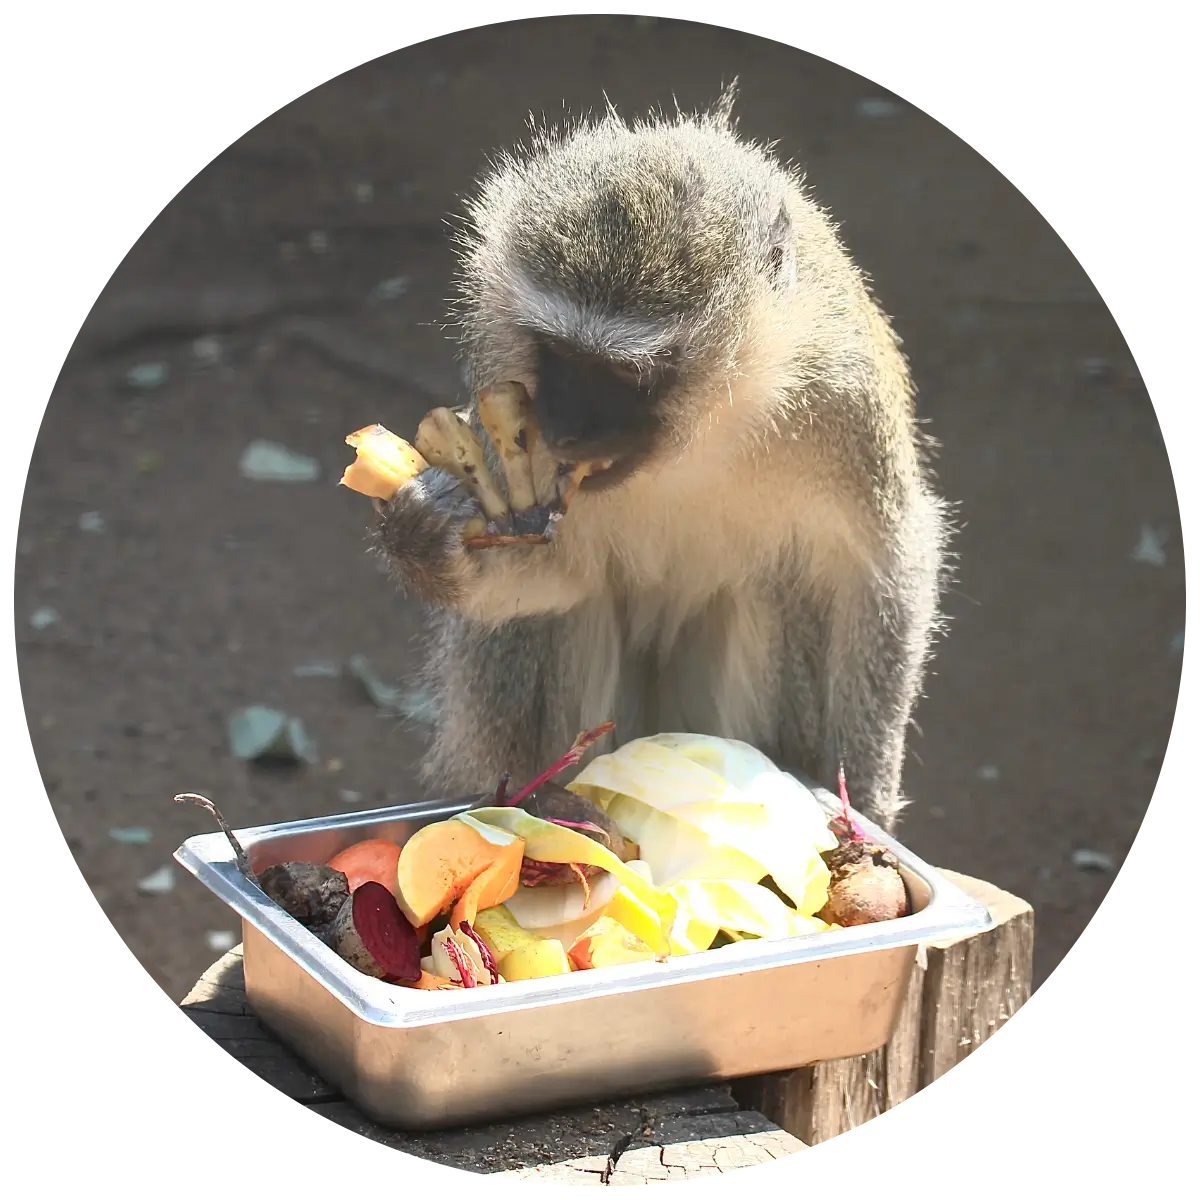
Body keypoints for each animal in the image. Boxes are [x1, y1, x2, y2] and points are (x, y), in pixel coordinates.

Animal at [369, 82, 952, 835]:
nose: (563, 431)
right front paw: (424, 539)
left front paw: (869, 795)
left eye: (626, 374)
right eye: (557, 353)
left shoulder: (846, 400)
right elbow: (563, 573)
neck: (709, 424)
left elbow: (880, 568)